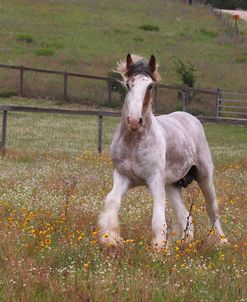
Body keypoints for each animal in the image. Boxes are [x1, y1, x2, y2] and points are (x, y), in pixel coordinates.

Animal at [98, 54, 228, 250]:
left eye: (150, 86)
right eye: (128, 84)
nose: (134, 121)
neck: (134, 143)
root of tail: (189, 117)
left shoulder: (155, 180)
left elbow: (158, 216)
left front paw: (159, 247)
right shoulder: (123, 177)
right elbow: (112, 201)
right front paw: (111, 239)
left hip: (204, 176)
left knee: (212, 208)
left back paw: (222, 241)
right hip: (172, 185)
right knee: (185, 216)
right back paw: (184, 242)